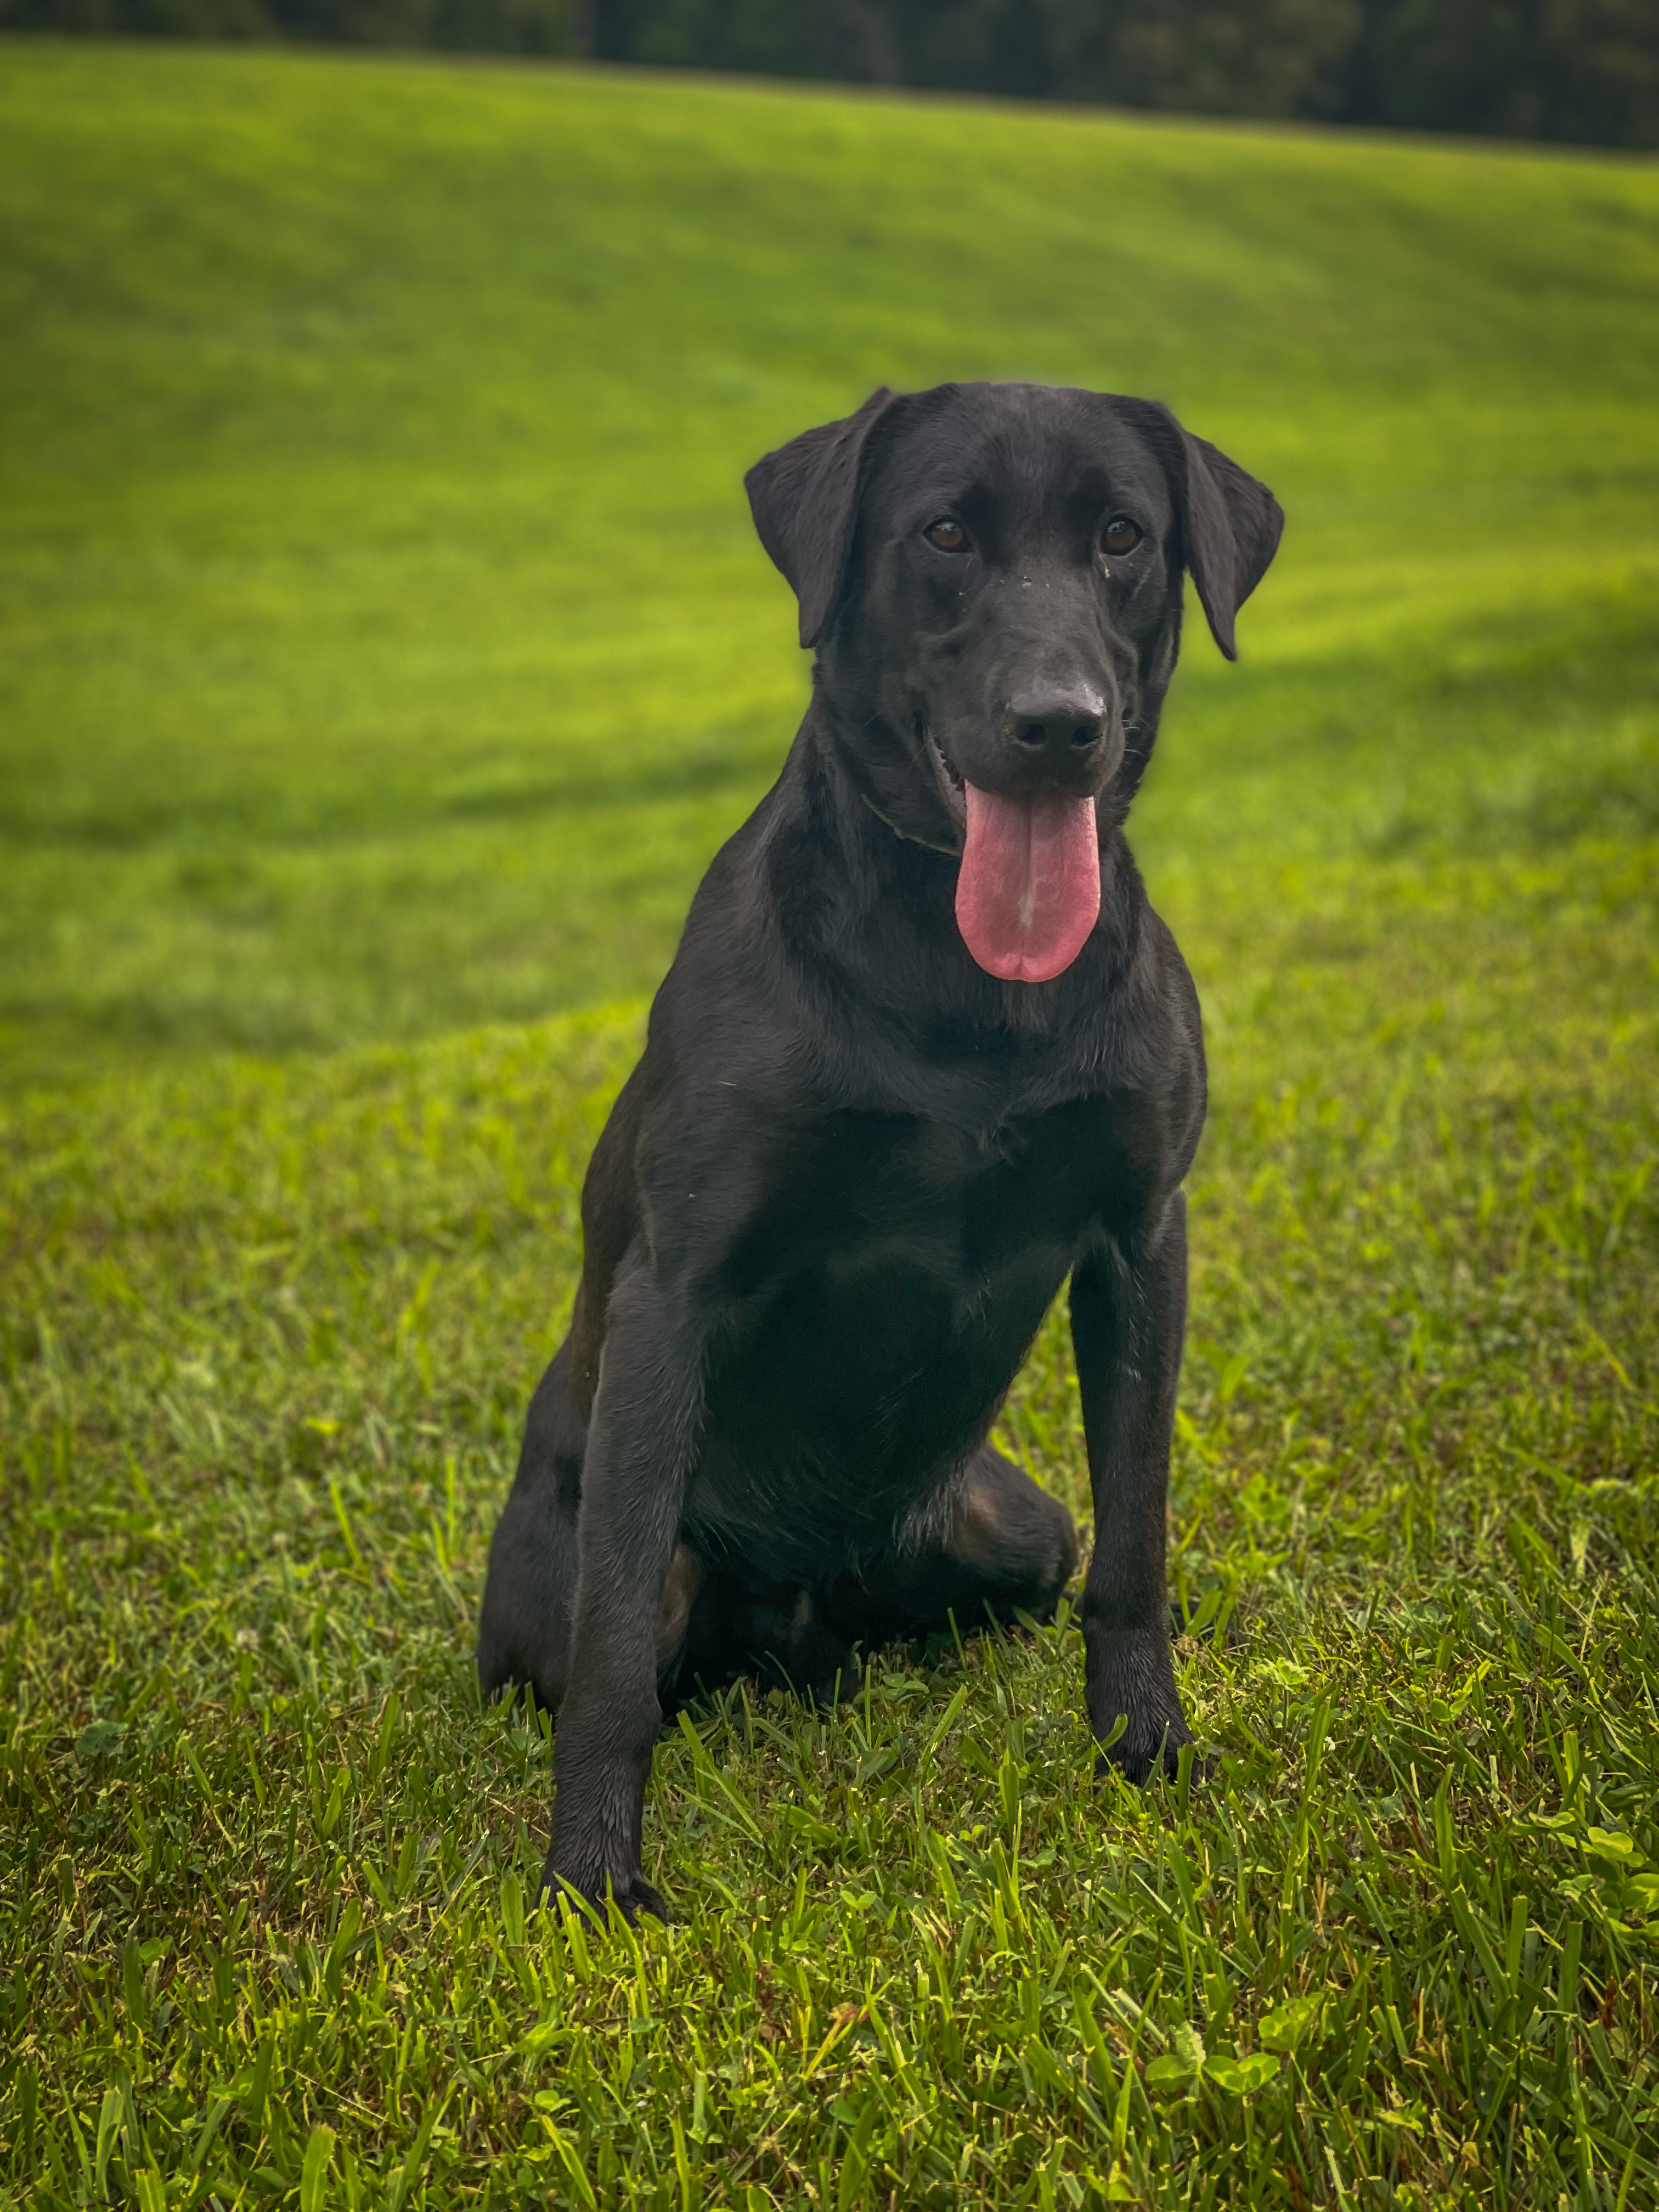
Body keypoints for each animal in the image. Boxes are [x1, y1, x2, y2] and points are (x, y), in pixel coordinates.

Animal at [479, 385, 1283, 1920]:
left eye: (1122, 538)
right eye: (946, 534)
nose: (1059, 726)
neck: (964, 985)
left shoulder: (1143, 1239)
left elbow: (1137, 1540)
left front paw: (1144, 1747)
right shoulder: (678, 1290)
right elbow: (613, 1664)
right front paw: (593, 1880)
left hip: (1007, 1527)